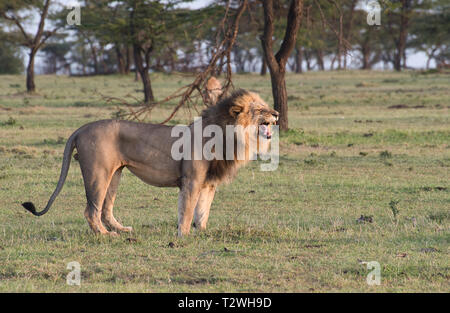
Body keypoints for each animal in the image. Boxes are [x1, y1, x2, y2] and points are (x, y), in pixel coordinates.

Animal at [23, 81, 282, 235]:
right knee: (91, 210)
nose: (277, 113)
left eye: (267, 106)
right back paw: (106, 236)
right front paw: (184, 236)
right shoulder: (191, 180)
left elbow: (203, 211)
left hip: (115, 174)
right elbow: (188, 209)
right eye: (261, 109)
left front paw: (203, 232)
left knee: (106, 208)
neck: (231, 135)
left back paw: (122, 229)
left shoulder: (209, 183)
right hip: (98, 172)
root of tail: (82, 128)